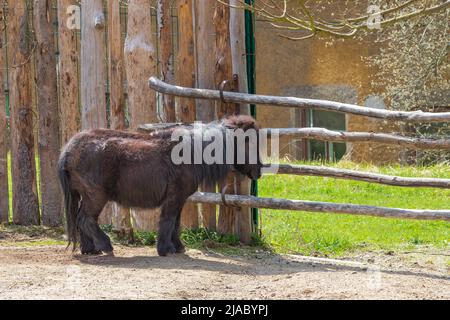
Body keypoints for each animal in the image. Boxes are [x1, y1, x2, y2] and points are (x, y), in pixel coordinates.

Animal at [59, 114, 264, 255]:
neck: (192, 152)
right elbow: (168, 221)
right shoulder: (173, 198)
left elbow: (176, 224)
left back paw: (89, 249)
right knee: (85, 219)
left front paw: (178, 247)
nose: (260, 171)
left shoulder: (180, 200)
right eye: (250, 143)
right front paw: (165, 249)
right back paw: (105, 245)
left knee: (80, 219)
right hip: (95, 196)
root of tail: (69, 149)